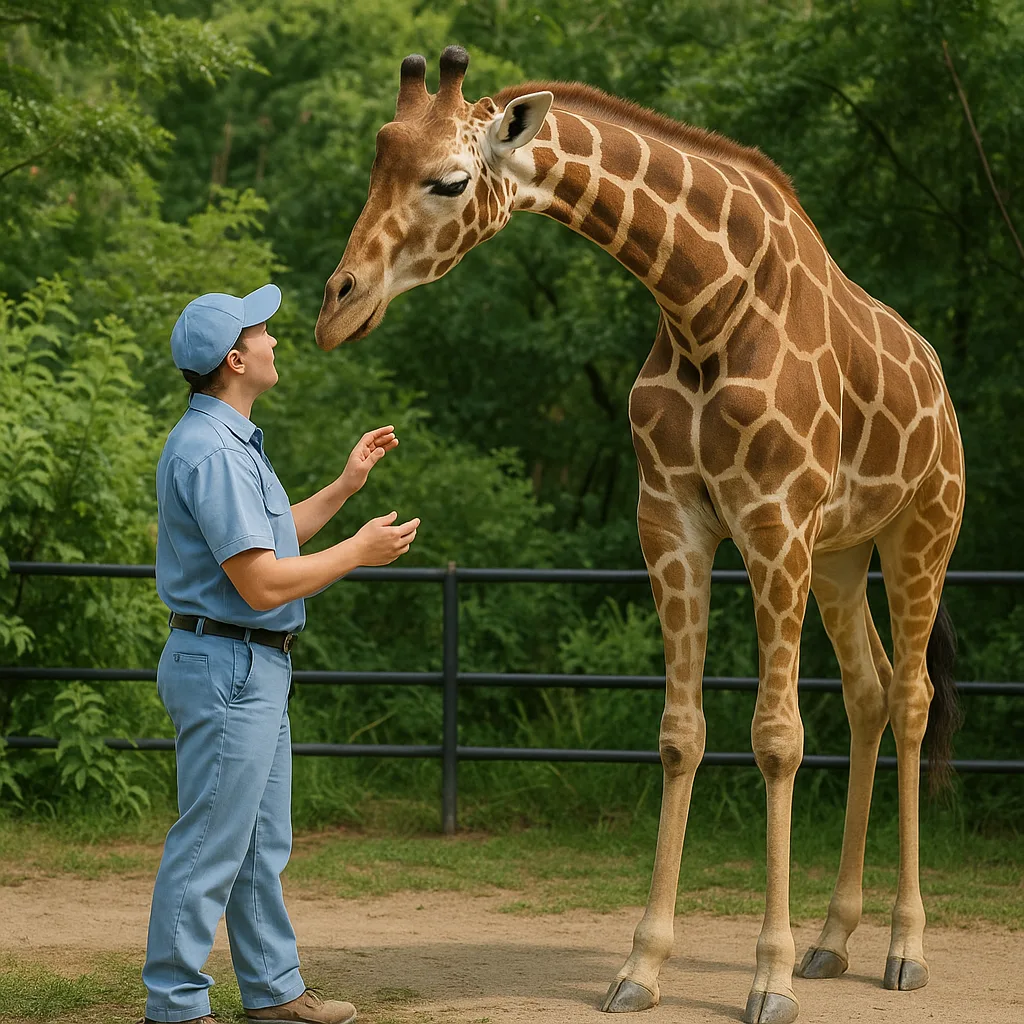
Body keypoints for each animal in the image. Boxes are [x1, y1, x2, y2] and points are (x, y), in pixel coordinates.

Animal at [314, 47, 965, 1024]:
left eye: (450, 180)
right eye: (374, 167)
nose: (335, 306)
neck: (702, 302)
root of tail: (939, 379)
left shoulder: (773, 519)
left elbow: (776, 737)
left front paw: (768, 980)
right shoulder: (672, 520)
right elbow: (679, 733)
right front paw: (642, 966)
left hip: (922, 528)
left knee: (915, 697)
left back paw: (905, 949)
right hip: (844, 554)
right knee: (870, 693)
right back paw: (833, 940)